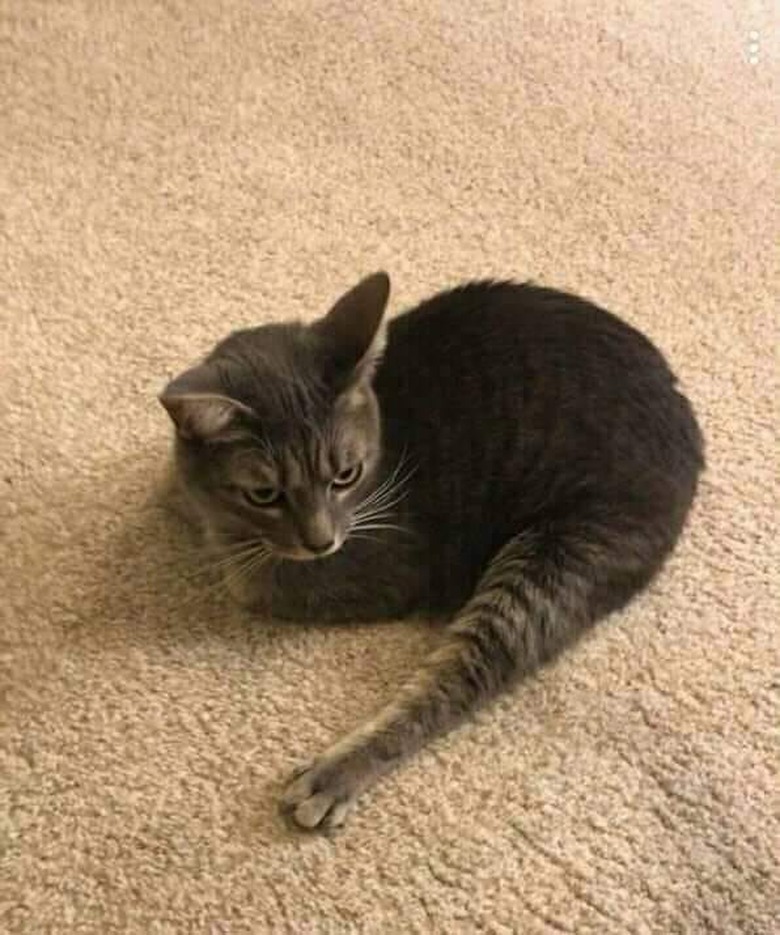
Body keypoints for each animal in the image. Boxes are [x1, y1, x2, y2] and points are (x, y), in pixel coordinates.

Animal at [160, 272, 708, 832]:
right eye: (265, 495)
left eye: (345, 475)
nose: (321, 541)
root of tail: (686, 429)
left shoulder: (375, 572)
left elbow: (247, 576)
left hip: (559, 554)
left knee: (453, 686)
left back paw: (333, 775)